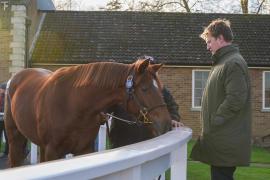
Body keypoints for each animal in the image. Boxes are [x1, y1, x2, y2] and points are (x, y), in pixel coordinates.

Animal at [4, 59, 171, 167]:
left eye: (161, 88)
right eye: (144, 89)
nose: (167, 124)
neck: (73, 104)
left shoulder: (84, 150)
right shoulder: (53, 151)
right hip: (14, 138)